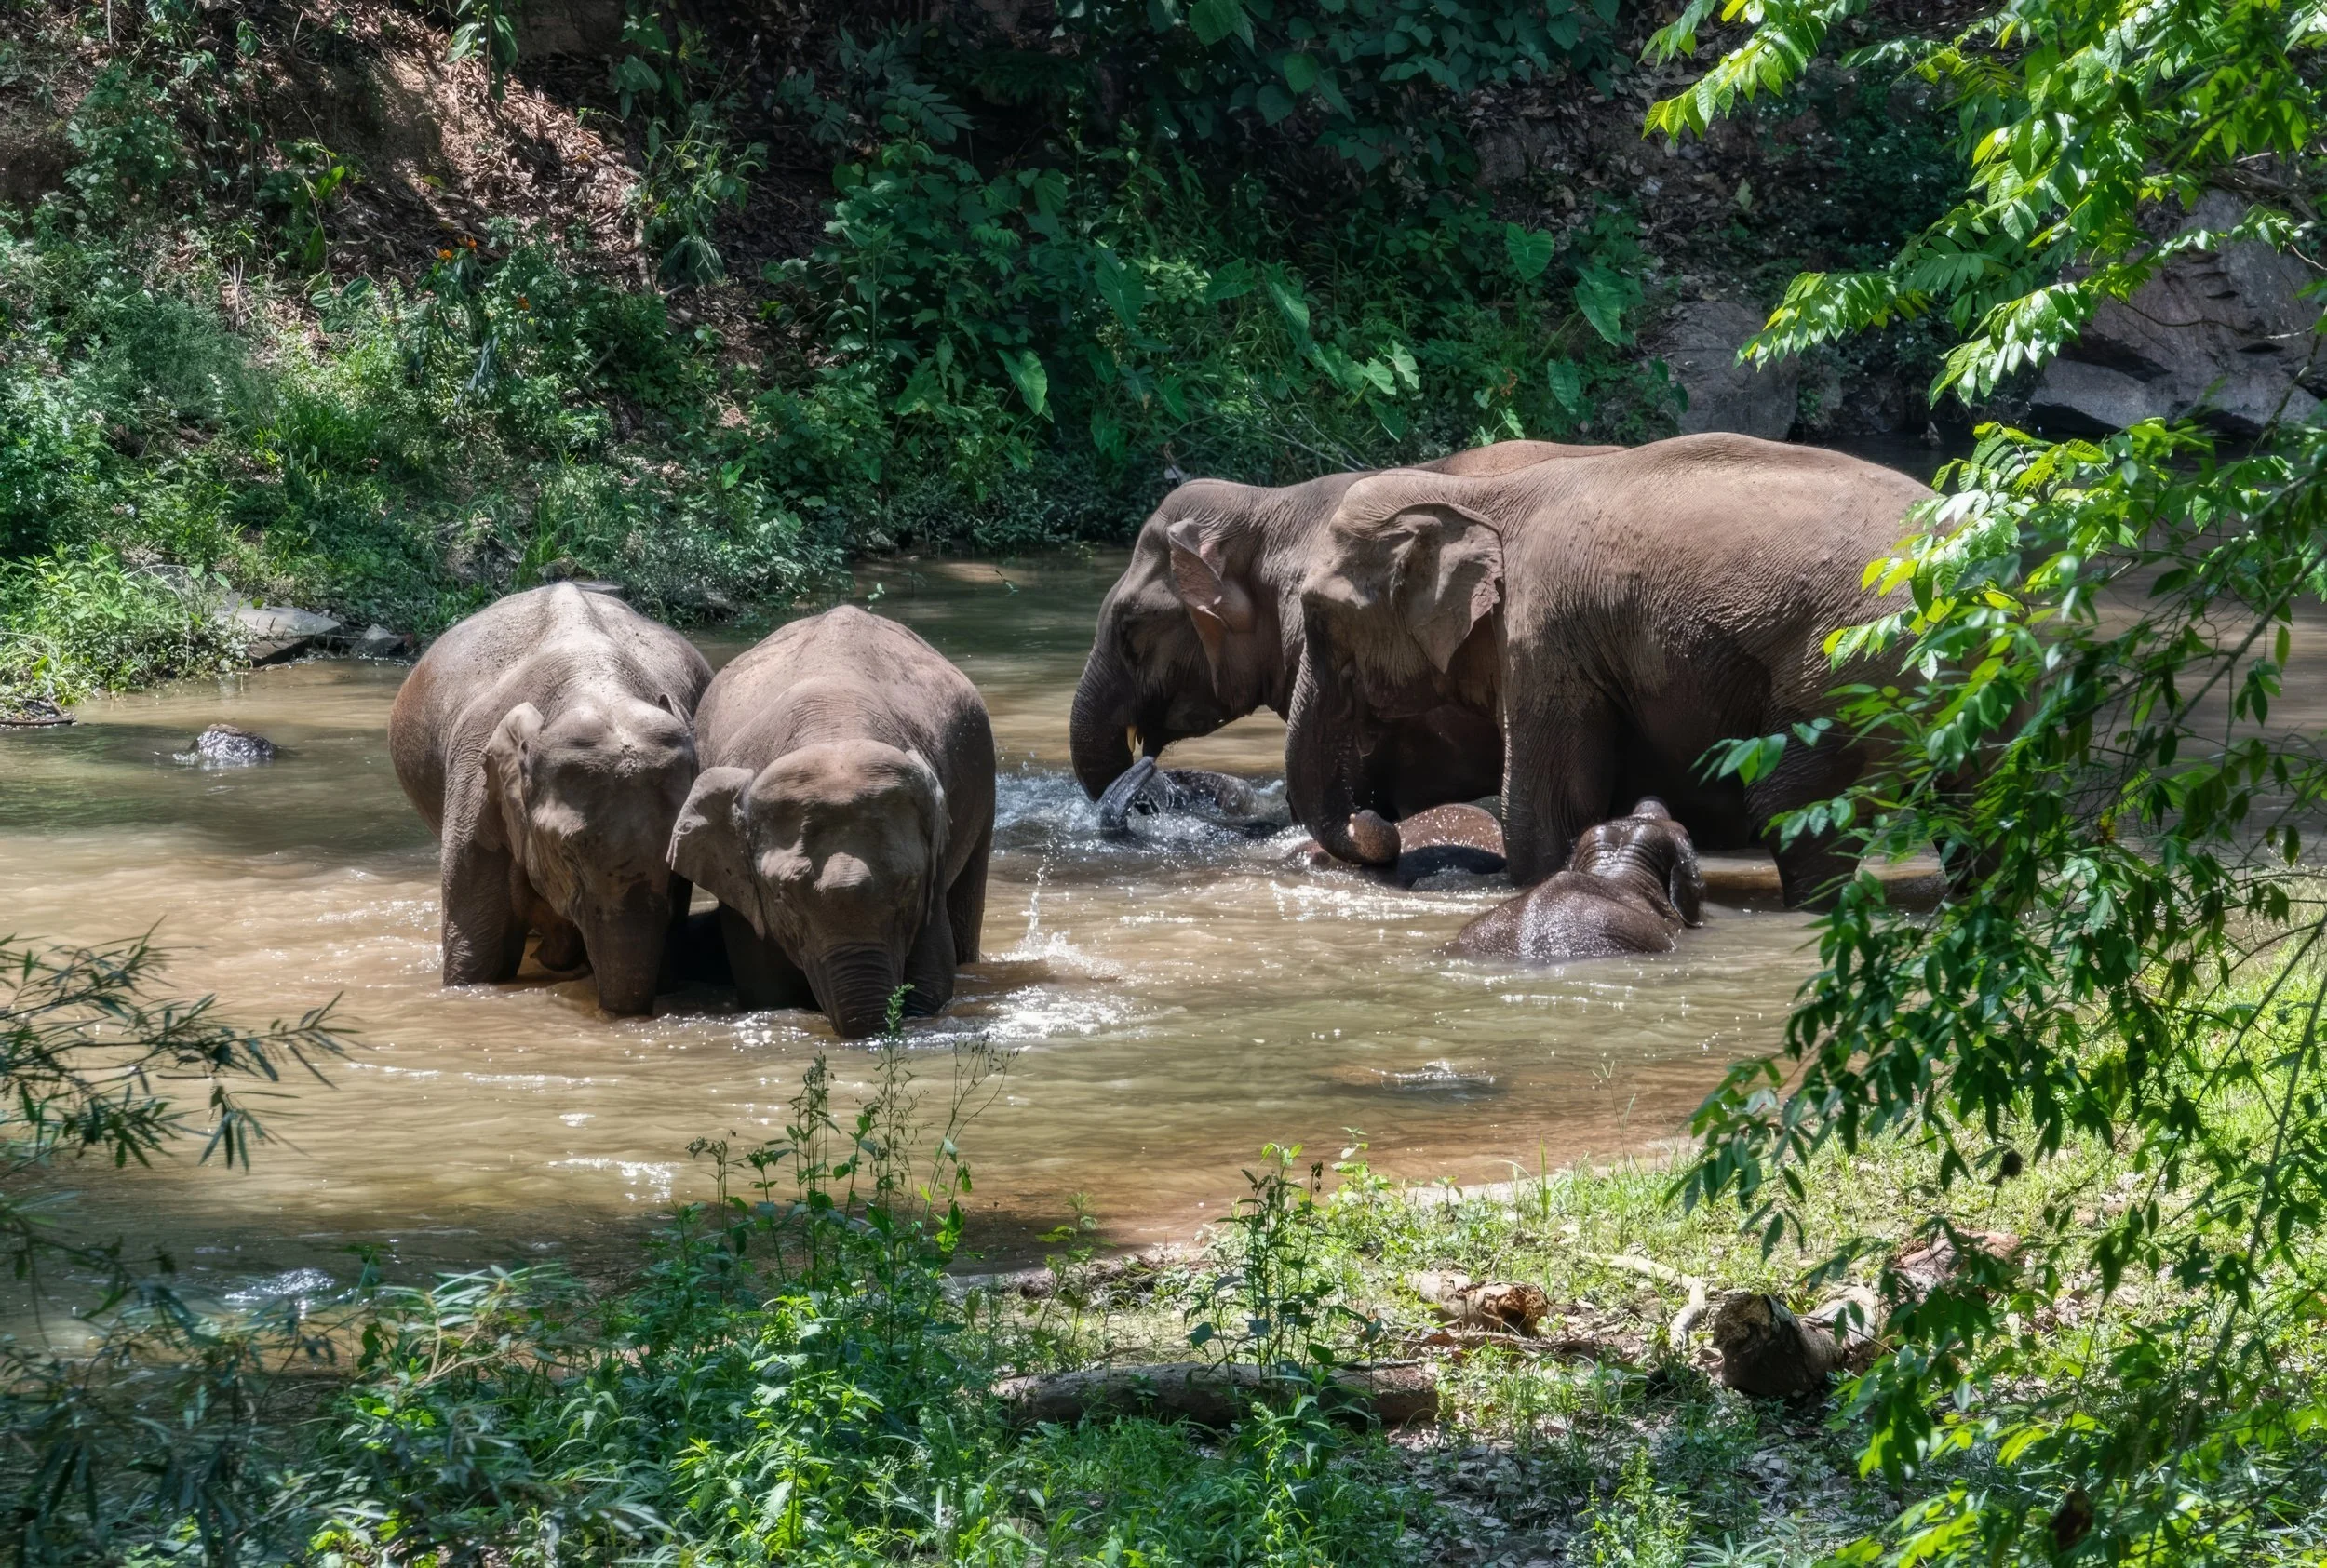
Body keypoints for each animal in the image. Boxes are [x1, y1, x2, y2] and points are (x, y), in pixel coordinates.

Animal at [666, 606, 995, 1039]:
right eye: (783, 896)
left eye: (909, 885)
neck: (834, 731)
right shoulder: (744, 892)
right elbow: (767, 989)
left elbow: (934, 978)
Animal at [1285, 434, 1935, 905]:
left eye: (1317, 613)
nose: (1379, 820)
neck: (1475, 491)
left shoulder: (1543, 637)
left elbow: (1545, 811)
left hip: (1857, 672)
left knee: (1796, 809)